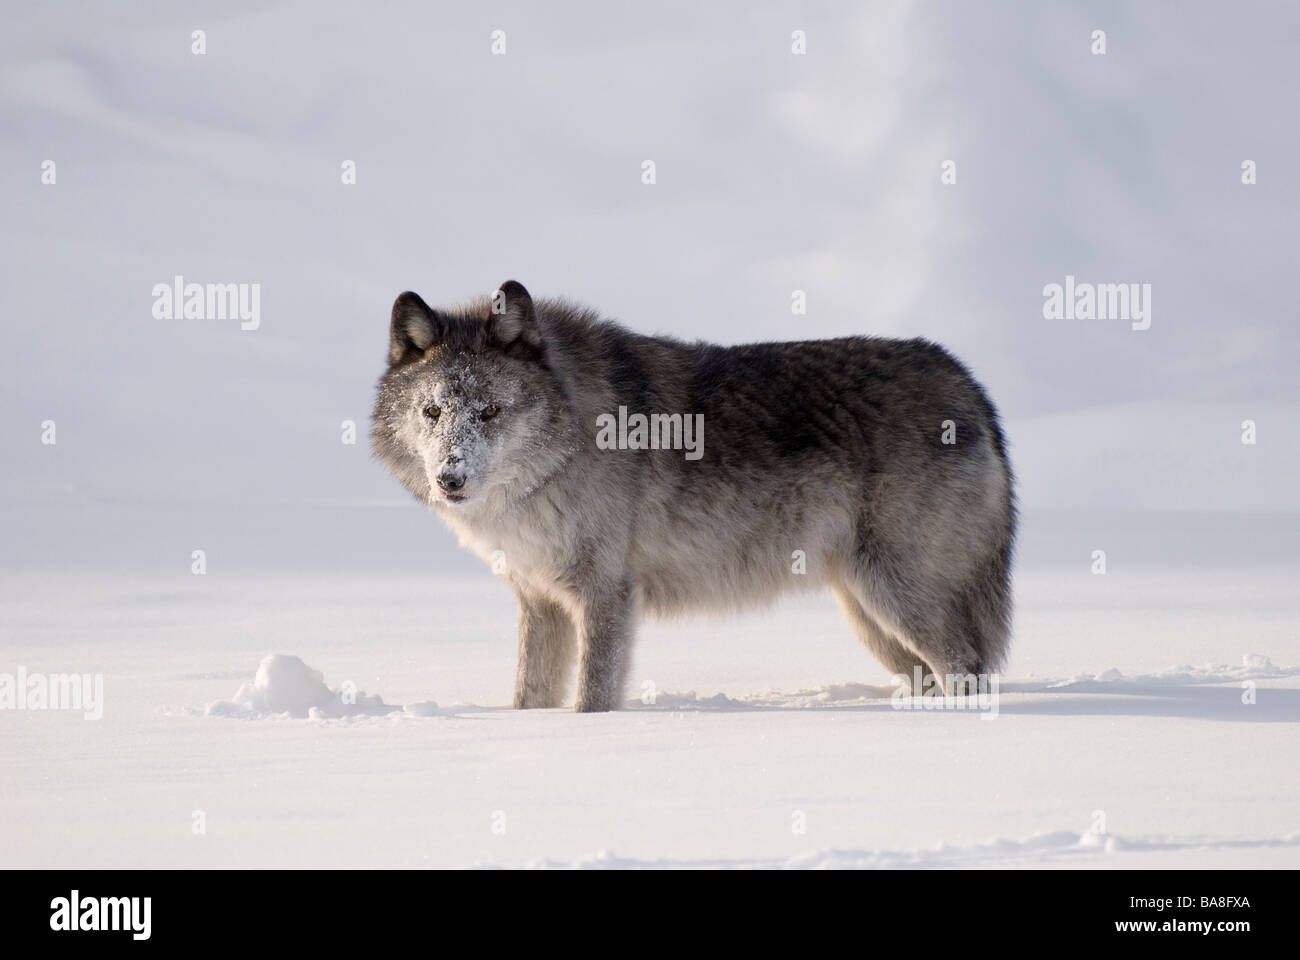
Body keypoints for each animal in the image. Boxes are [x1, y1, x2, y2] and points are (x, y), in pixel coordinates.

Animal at [371, 280, 1019, 707]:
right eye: (432, 412)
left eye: (488, 412)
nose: (450, 478)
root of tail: (968, 382)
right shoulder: (540, 601)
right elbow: (529, 699)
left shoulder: (606, 594)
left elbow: (592, 697)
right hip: (867, 614)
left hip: (894, 597)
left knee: (968, 668)